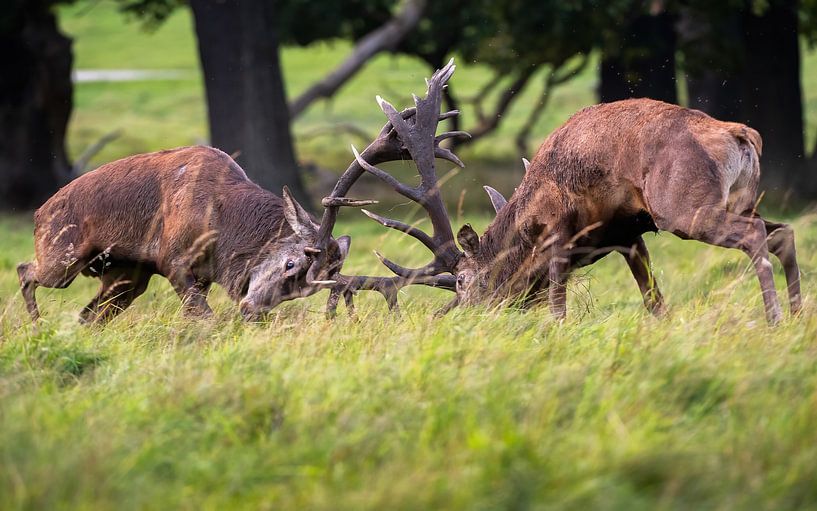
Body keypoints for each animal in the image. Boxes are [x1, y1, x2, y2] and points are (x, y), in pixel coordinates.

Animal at [17, 145, 361, 324]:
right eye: (290, 263)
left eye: (304, 291)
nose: (251, 311)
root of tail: (38, 212)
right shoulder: (173, 260)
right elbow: (206, 318)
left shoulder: (203, 274)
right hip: (62, 259)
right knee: (25, 270)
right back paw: (36, 325)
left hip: (126, 276)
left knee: (88, 315)